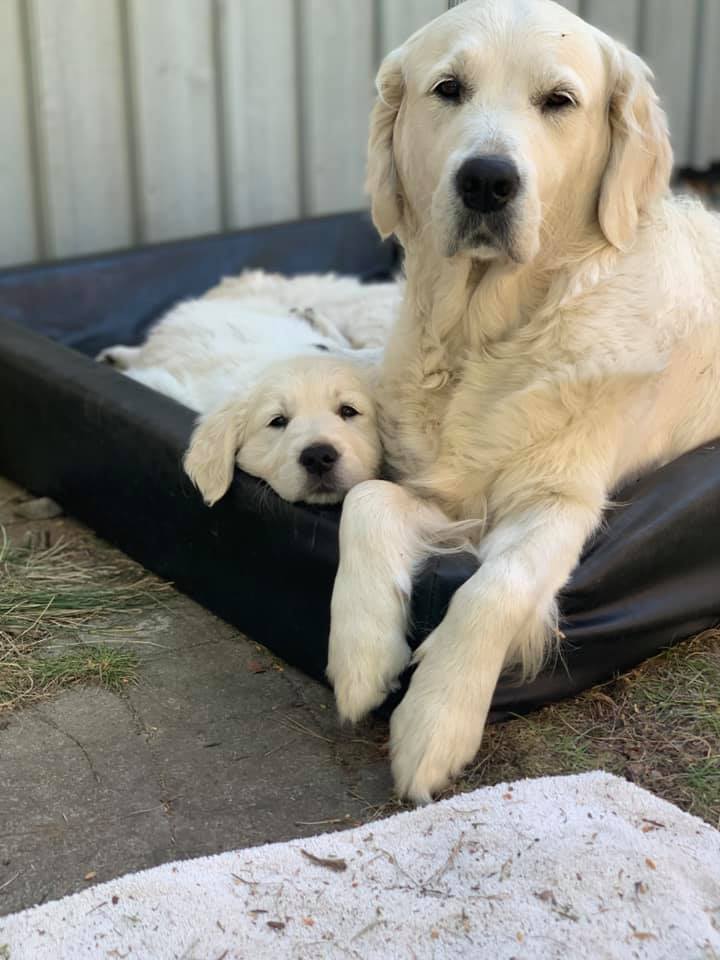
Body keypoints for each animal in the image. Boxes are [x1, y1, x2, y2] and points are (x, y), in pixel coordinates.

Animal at [330, 0, 720, 804]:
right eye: (448, 88)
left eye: (559, 101)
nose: (487, 180)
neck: (485, 336)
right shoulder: (443, 492)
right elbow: (366, 501)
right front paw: (360, 651)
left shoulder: (559, 500)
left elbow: (494, 589)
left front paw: (436, 721)